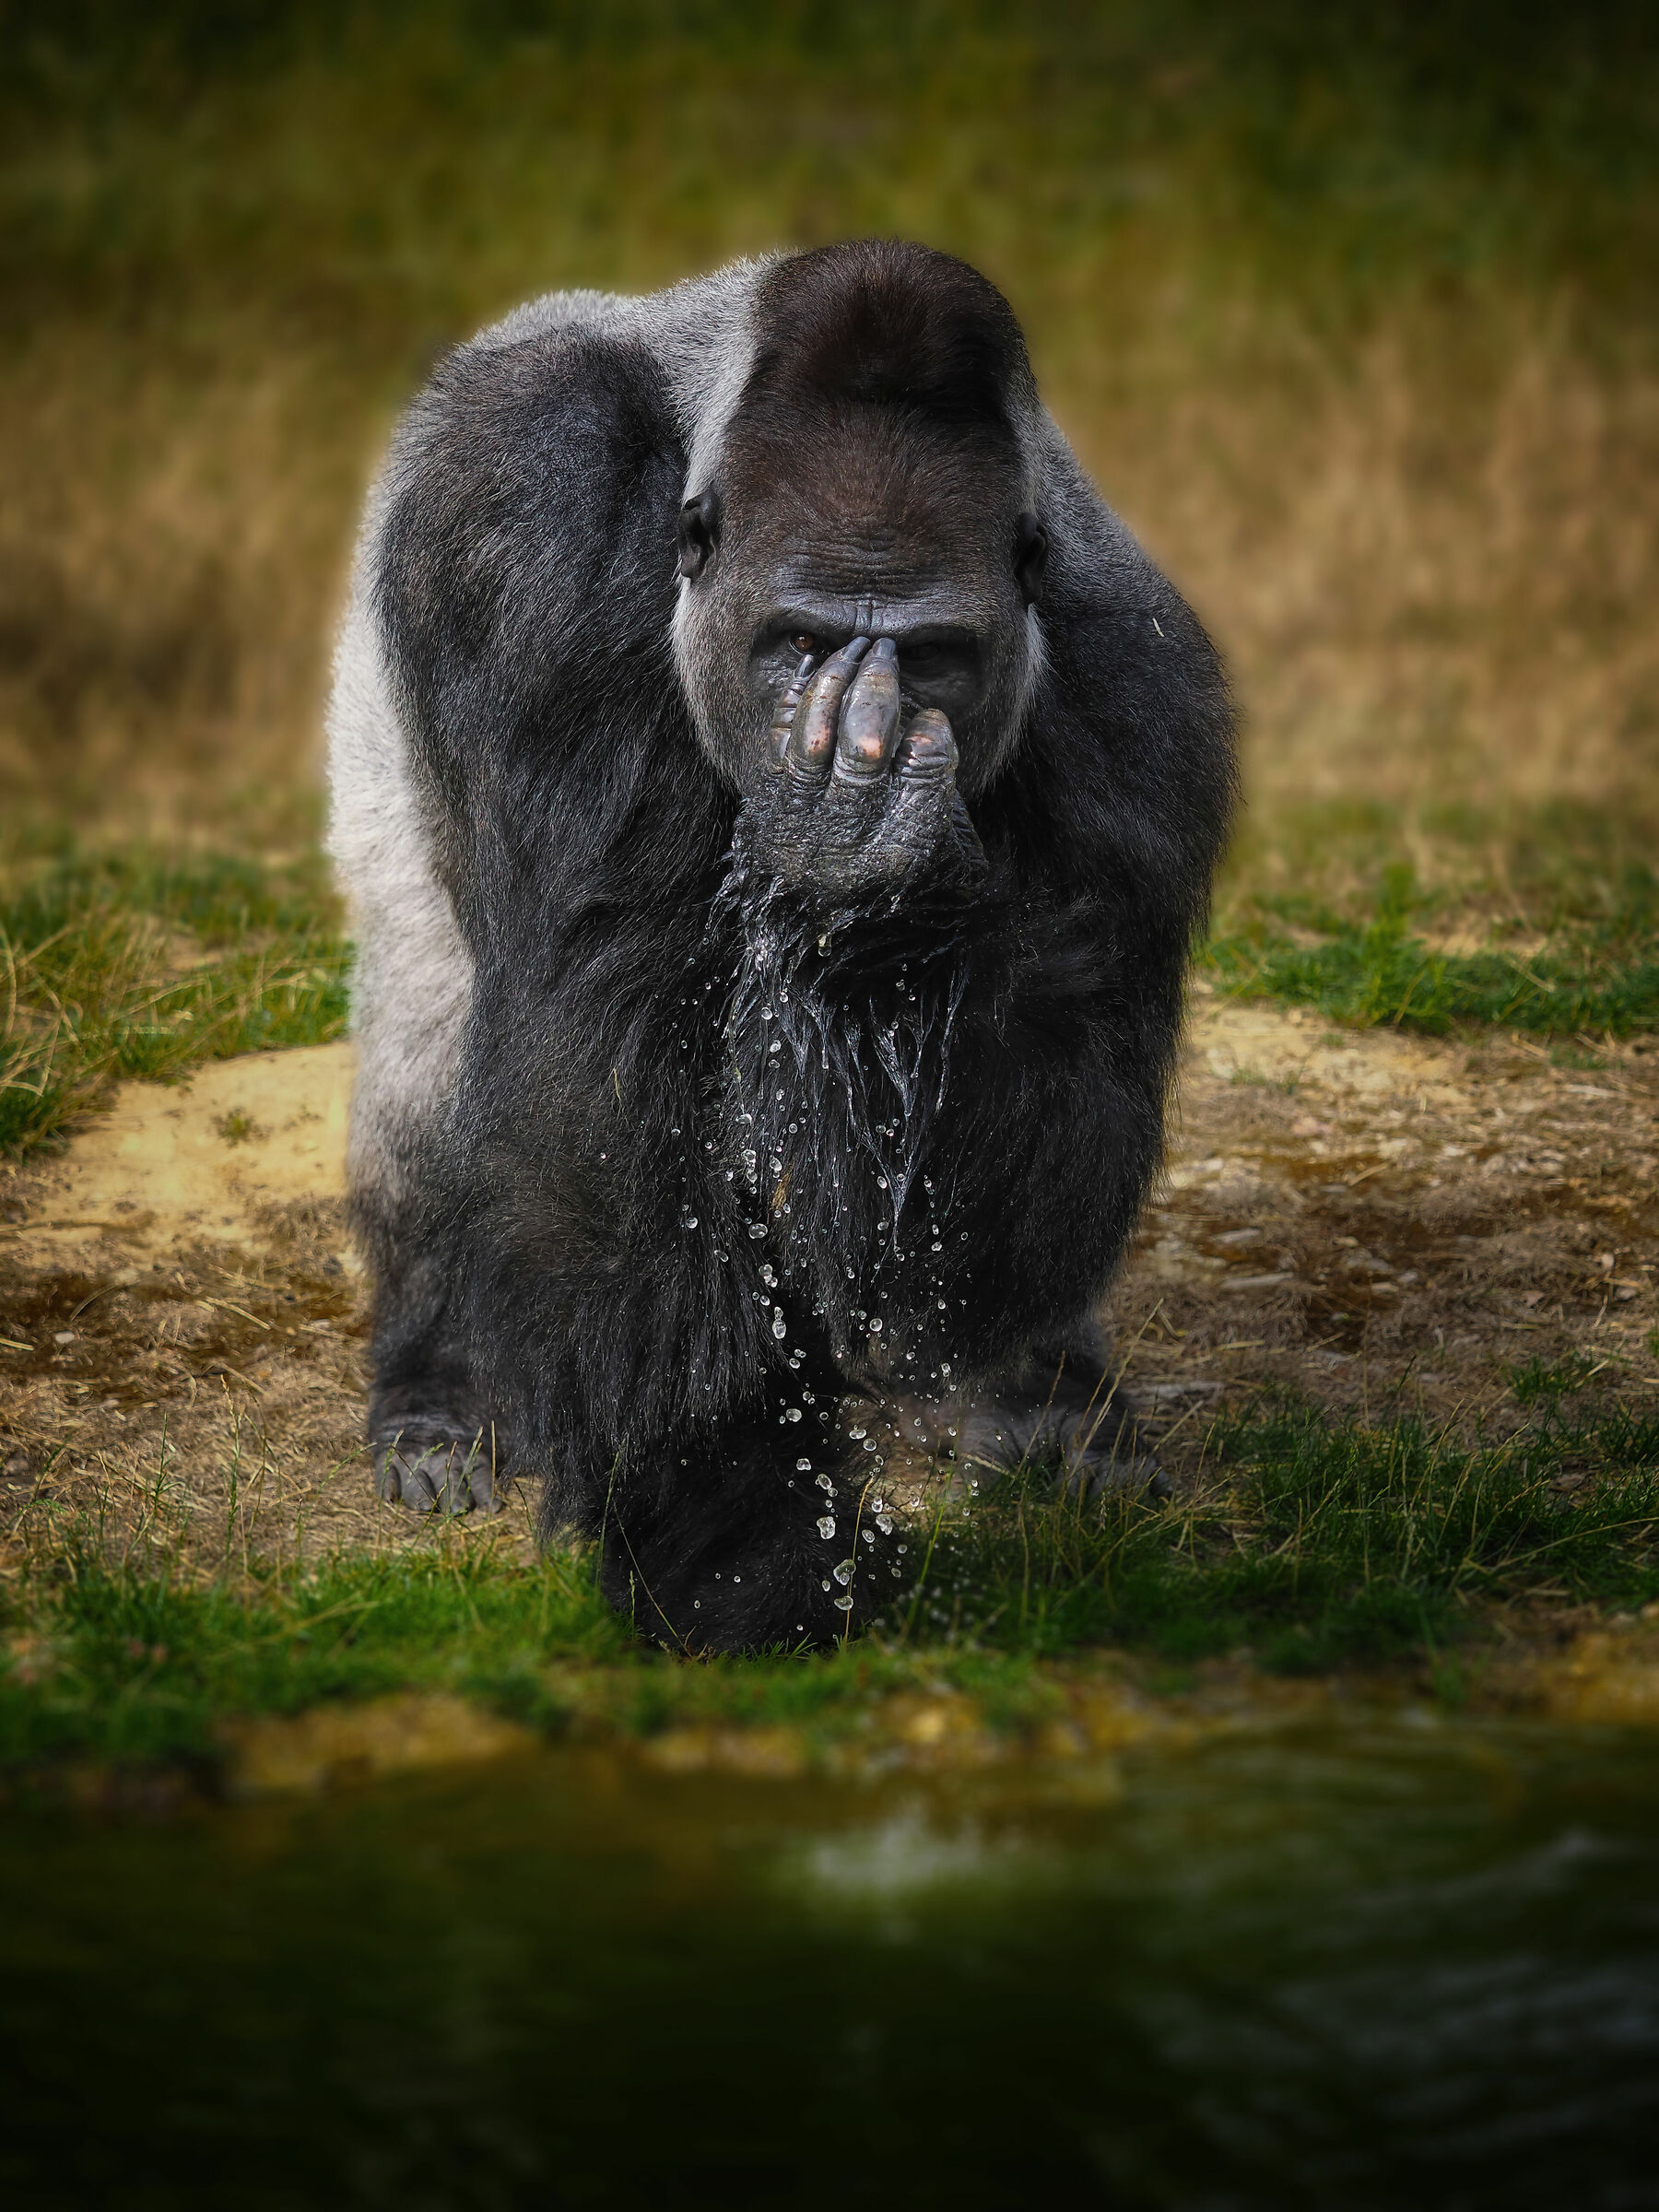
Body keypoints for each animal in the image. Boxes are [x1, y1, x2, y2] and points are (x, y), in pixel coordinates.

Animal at [327, 240, 1235, 1651]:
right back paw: (440, 1380)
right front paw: (740, 1553)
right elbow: (601, 1064)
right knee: (429, 1034)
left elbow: (1037, 1127)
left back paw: (1045, 1398)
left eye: (932, 656)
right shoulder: (526, 519)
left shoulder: (1140, 698)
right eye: (800, 642)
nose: (864, 729)